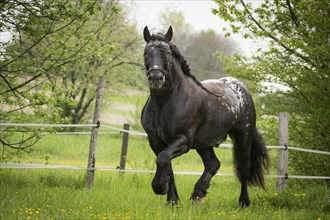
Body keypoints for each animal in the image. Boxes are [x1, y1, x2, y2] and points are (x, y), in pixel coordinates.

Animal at [141, 26, 270, 207]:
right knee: (213, 164)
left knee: (244, 169)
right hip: (203, 142)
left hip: (243, 137)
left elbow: (163, 159)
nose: (156, 77)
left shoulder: (183, 140)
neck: (164, 103)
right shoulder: (156, 141)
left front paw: (159, 187)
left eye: (166, 53)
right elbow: (167, 165)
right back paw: (198, 194)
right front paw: (172, 201)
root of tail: (240, 89)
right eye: (146, 52)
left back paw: (243, 202)